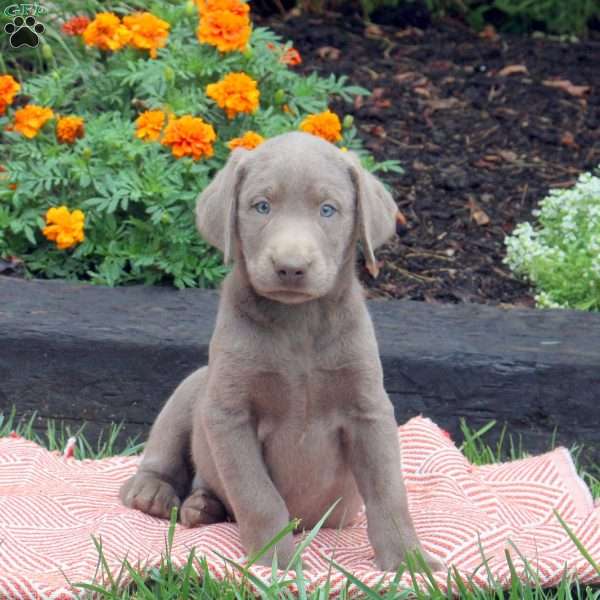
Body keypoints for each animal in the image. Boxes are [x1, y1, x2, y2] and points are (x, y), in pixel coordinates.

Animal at [119, 131, 442, 572]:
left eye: (328, 209)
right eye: (261, 206)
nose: (290, 266)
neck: (298, 324)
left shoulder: (369, 410)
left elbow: (388, 491)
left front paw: (410, 562)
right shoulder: (229, 415)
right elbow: (259, 497)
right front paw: (277, 563)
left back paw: (201, 506)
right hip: (192, 388)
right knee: (164, 454)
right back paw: (156, 493)